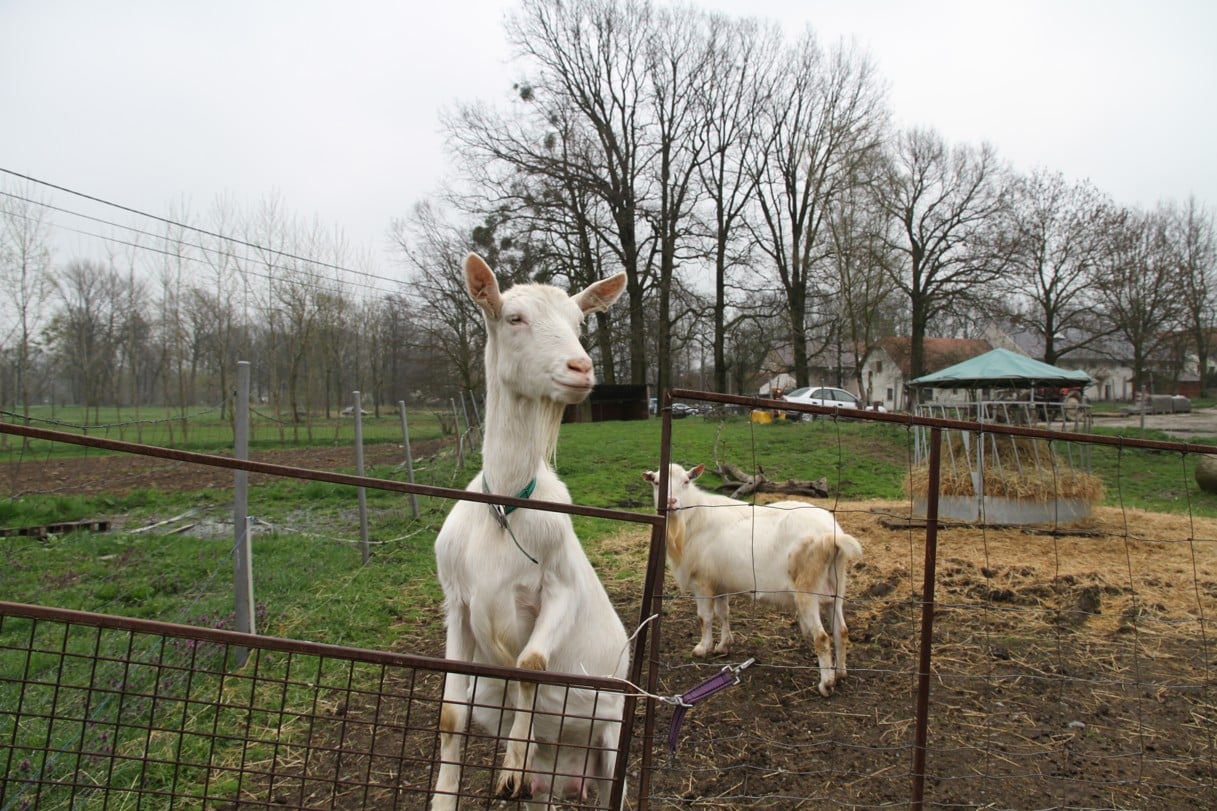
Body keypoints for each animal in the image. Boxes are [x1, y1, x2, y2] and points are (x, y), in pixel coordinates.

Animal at [430, 254, 627, 808]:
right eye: (514, 318)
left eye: (579, 321)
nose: (581, 368)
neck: (505, 509)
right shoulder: (458, 603)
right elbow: (451, 713)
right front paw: (442, 797)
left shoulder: (559, 588)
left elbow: (532, 664)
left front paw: (510, 766)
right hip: (548, 780)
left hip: (610, 744)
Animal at [642, 460, 861, 696]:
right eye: (656, 482)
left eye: (686, 481)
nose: (671, 502)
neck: (692, 518)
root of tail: (832, 535)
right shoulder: (721, 582)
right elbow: (723, 613)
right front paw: (723, 645)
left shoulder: (703, 581)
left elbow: (704, 617)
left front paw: (702, 648)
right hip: (835, 587)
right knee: (841, 630)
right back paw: (840, 673)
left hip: (807, 589)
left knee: (821, 637)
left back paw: (826, 684)